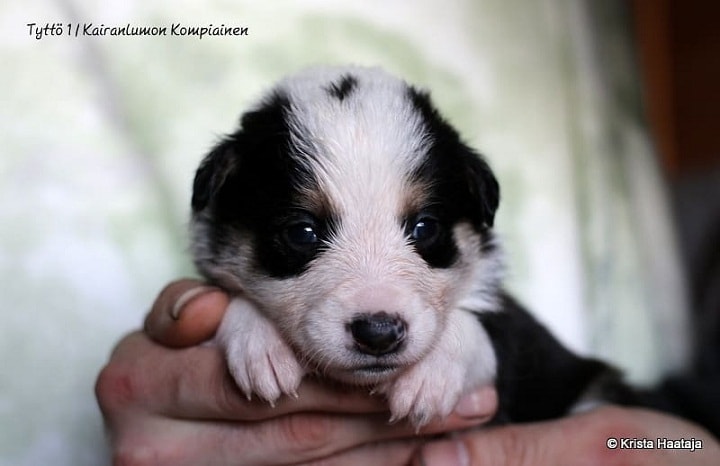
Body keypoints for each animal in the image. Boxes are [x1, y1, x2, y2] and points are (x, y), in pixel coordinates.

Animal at [191, 67, 636, 428]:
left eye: (425, 228)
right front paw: (260, 344)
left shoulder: (515, 344)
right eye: (302, 232)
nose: (379, 333)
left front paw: (429, 379)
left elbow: (485, 331)